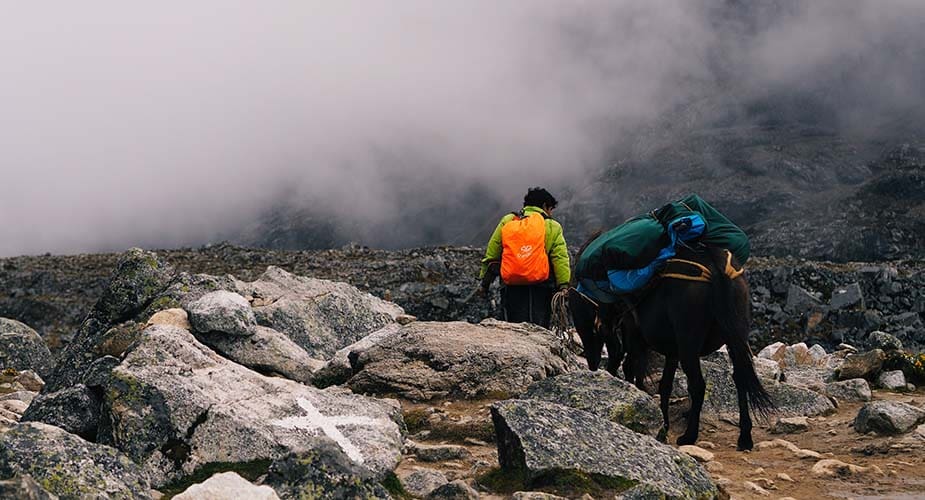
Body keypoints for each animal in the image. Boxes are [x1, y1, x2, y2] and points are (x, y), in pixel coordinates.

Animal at [572, 244, 772, 452]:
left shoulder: (634, 332)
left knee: (698, 385)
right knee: (740, 378)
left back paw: (689, 436)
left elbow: (634, 370)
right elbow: (665, 385)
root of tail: (716, 264)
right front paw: (664, 424)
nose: (593, 365)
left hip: (689, 341)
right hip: (735, 336)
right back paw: (745, 437)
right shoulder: (671, 351)